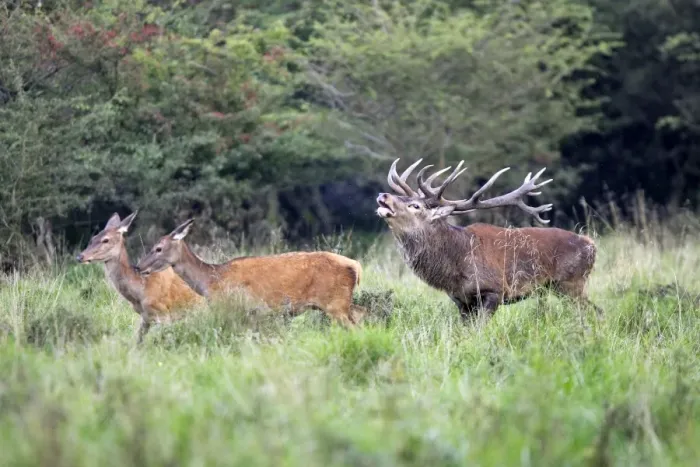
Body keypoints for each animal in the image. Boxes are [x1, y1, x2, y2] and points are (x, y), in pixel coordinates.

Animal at [76, 212, 204, 343]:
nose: (80, 256)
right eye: (93, 238)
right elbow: (137, 341)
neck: (141, 291)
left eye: (106, 240)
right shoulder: (145, 317)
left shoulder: (164, 314)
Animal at [134, 219, 366, 326]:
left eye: (158, 248)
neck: (211, 281)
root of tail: (355, 266)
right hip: (341, 303)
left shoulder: (239, 308)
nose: (138, 267)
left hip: (335, 304)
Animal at [376, 158, 599, 321]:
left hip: (571, 282)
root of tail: (592, 245)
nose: (383, 195)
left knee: (593, 312)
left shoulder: (494, 290)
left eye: (415, 206)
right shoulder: (461, 300)